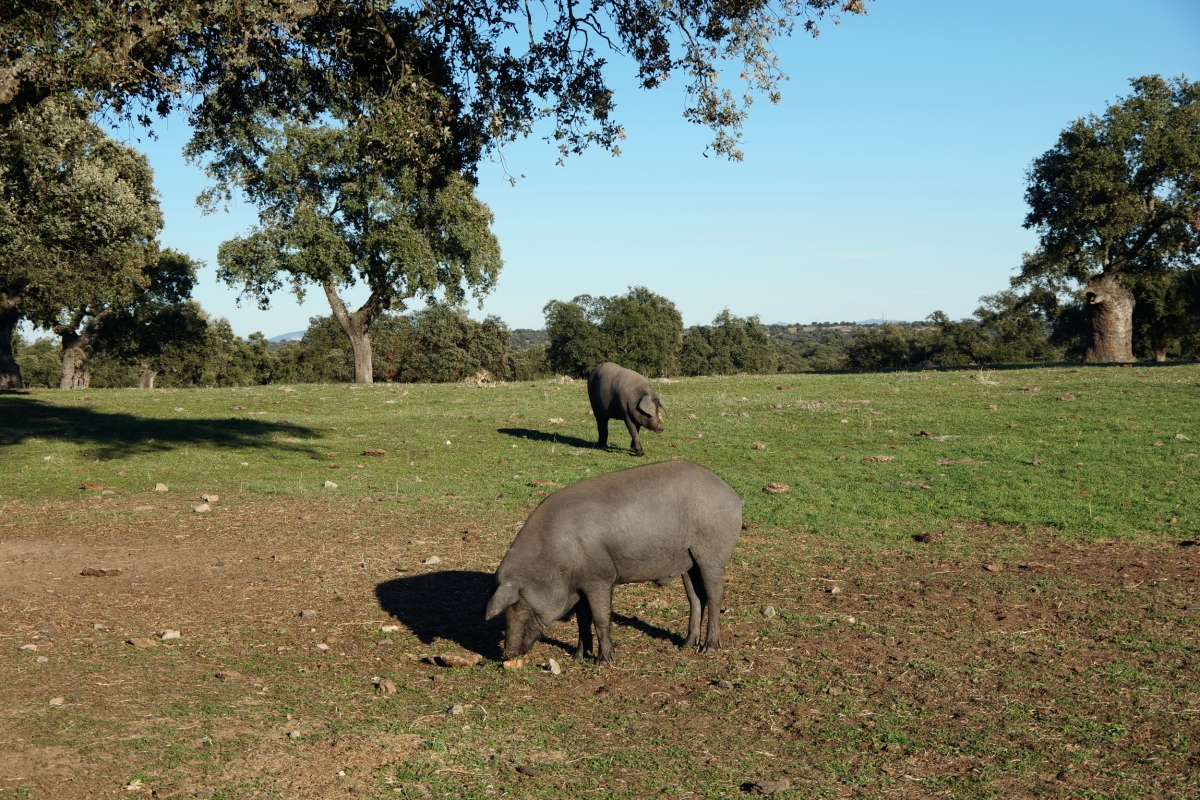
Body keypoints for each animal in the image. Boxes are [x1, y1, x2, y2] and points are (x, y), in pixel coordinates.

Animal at [484, 455, 739, 662]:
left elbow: (600, 617)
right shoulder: (581, 585)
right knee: (696, 598)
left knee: (715, 595)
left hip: (710, 554)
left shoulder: (599, 578)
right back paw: (686, 645)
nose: (506, 654)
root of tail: (733, 494)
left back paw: (709, 649)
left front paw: (604, 661)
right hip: (688, 561)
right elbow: (582, 619)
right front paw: (578, 657)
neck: (556, 559)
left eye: (517, 603)